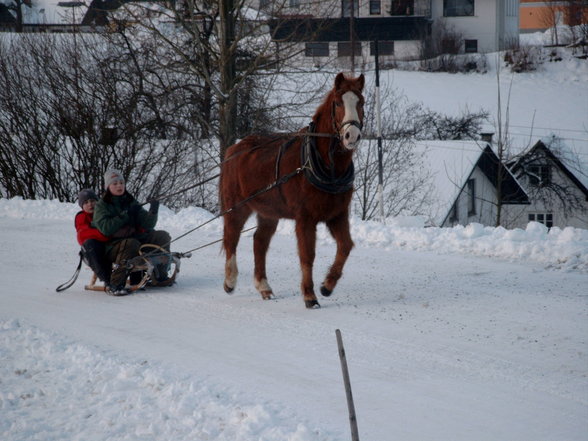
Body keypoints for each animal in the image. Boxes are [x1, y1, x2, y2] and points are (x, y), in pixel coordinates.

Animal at [219, 72, 362, 308]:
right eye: (338, 103)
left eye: (361, 102)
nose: (352, 135)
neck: (326, 166)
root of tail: (234, 149)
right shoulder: (305, 218)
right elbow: (307, 255)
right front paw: (309, 296)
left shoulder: (337, 215)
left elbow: (346, 246)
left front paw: (327, 286)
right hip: (236, 207)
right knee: (232, 238)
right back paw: (230, 281)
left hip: (268, 212)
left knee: (259, 241)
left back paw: (264, 287)